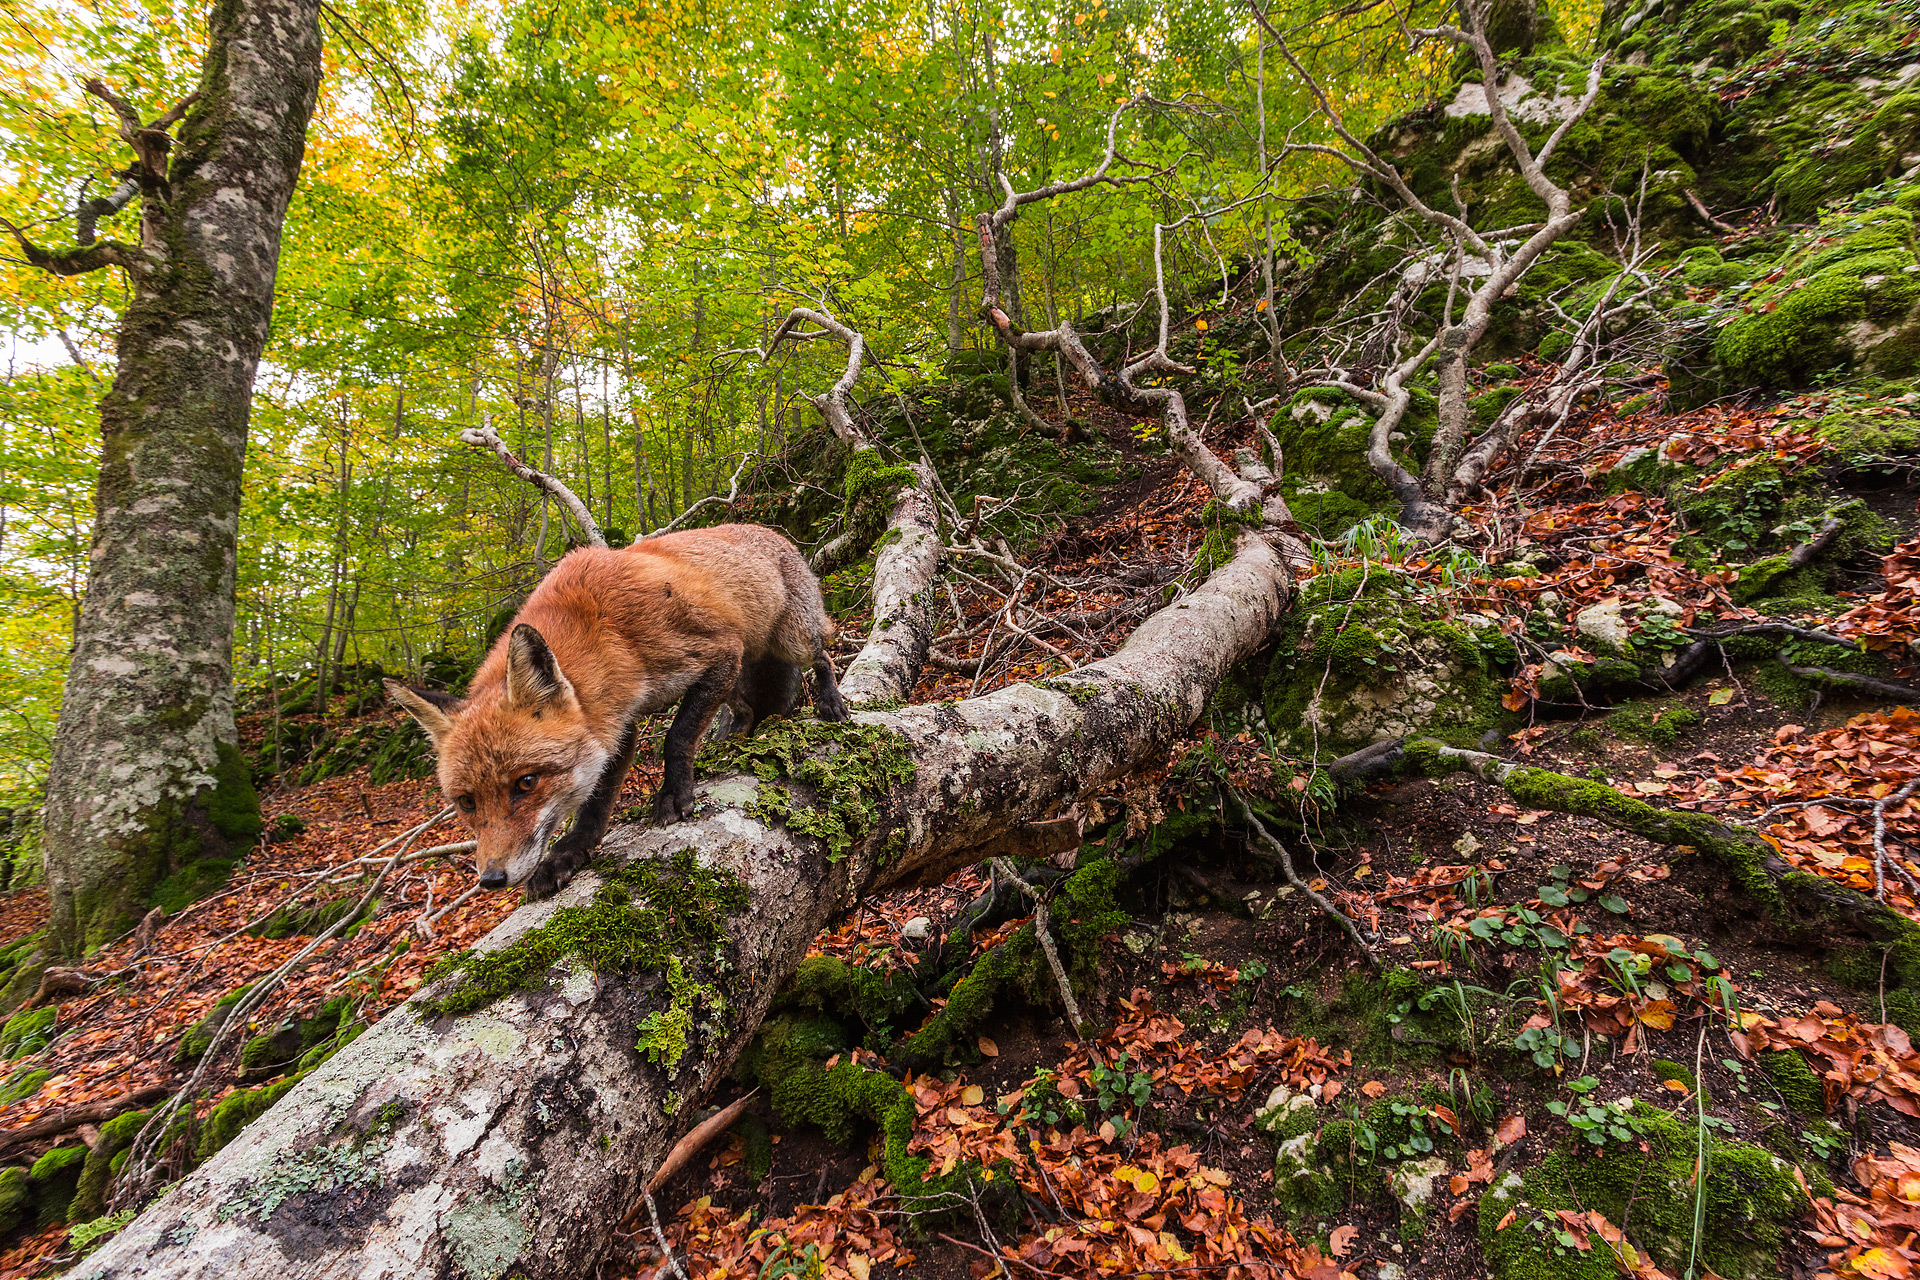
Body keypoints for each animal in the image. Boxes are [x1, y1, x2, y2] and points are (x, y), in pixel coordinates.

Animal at [385, 525, 844, 898]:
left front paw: (674, 793)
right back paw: (733, 737)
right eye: (466, 802)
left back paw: (831, 702)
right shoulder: (616, 723)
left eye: (526, 783)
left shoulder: (716, 649)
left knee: (824, 652)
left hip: (790, 640)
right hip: (738, 672)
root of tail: (772, 531)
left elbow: (677, 736)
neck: (607, 633)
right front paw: (569, 854)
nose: (491, 879)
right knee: (746, 708)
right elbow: (595, 803)